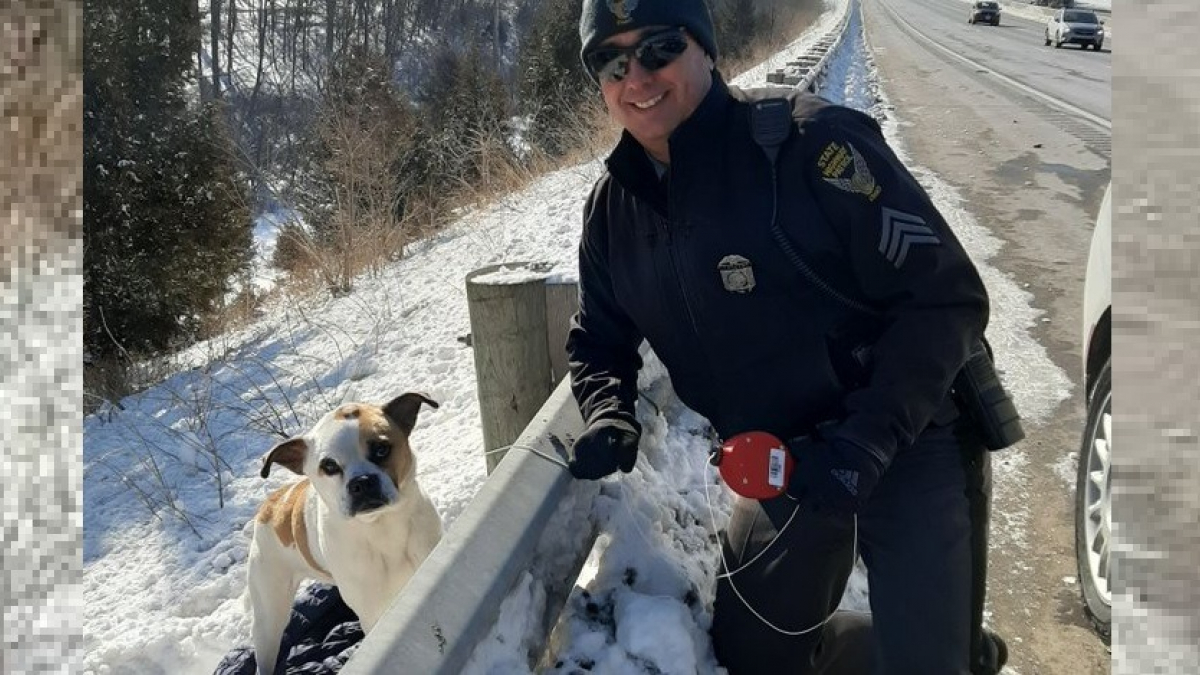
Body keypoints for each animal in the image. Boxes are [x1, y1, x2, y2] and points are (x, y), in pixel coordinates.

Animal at [246, 391, 444, 667]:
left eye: (381, 448)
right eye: (329, 466)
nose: (362, 482)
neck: (381, 527)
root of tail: (271, 503)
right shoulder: (372, 609)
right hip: (269, 614)